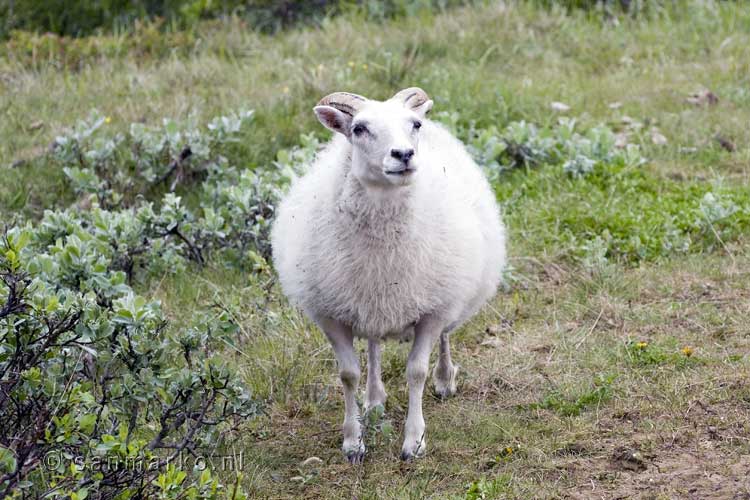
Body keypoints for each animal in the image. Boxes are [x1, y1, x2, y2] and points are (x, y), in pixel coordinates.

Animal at [270, 87, 506, 460]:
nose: (404, 154)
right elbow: (348, 374)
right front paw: (353, 441)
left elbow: (416, 372)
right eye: (359, 129)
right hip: (370, 302)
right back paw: (374, 400)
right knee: (373, 344)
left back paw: (444, 379)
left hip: (448, 291)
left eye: (414, 125)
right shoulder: (331, 315)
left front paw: (414, 441)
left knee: (444, 338)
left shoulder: (432, 311)